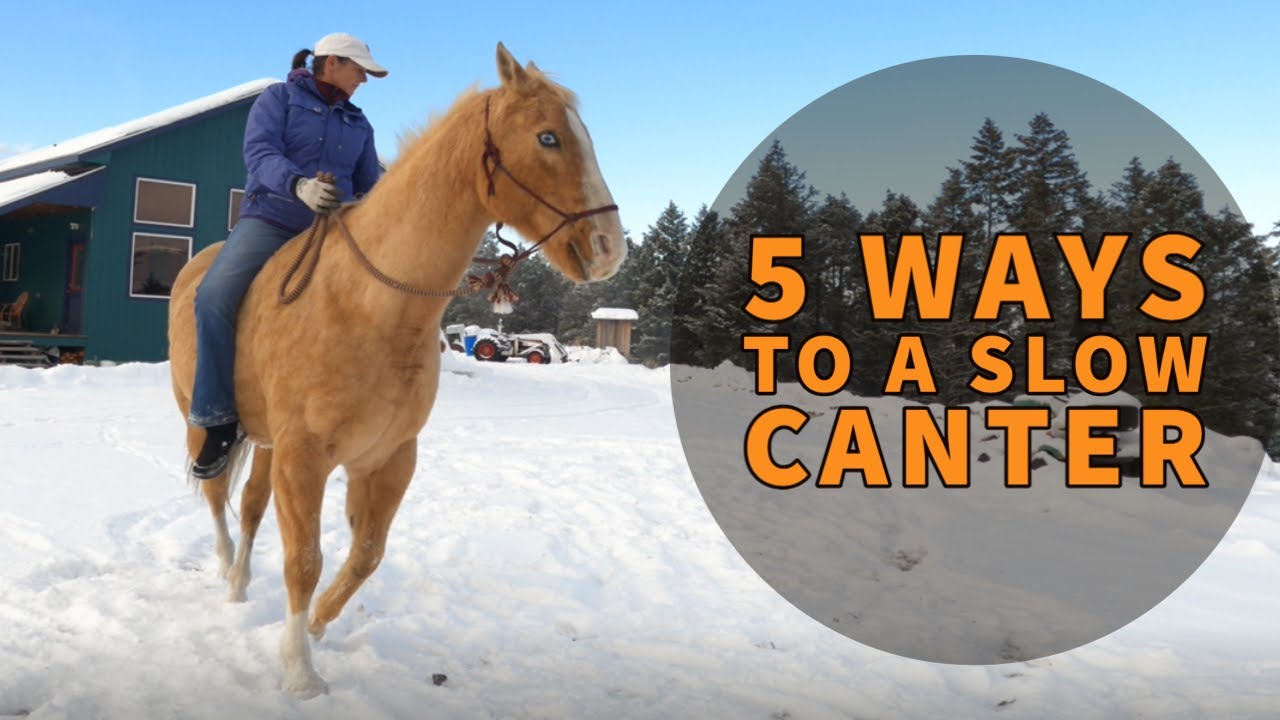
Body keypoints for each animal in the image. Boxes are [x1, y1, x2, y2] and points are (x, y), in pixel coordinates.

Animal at [167, 43, 625, 697]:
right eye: (548, 137)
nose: (610, 248)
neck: (370, 305)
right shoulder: (305, 457)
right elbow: (304, 561)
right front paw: (300, 673)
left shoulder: (387, 458)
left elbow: (365, 554)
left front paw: (318, 625)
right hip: (201, 422)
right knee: (215, 498)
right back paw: (229, 572)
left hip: (267, 444)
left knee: (251, 504)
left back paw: (240, 583)